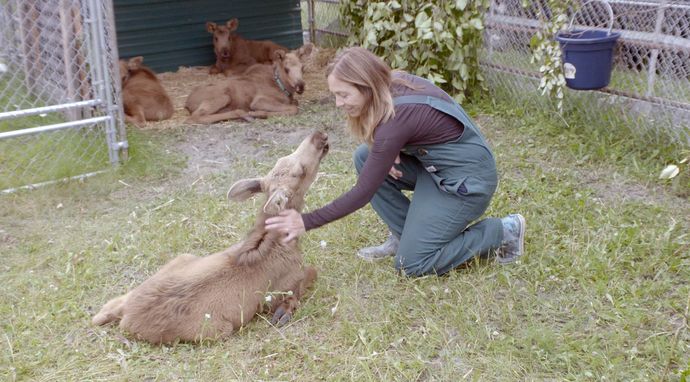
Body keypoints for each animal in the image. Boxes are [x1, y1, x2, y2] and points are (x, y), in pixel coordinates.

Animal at [183, 43, 312, 124]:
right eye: (286, 69)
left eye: (303, 68)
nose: (300, 85)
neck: (283, 87)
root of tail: (187, 103)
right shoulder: (259, 101)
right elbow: (294, 109)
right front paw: (260, 113)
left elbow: (295, 104)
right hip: (223, 97)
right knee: (194, 117)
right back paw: (245, 114)